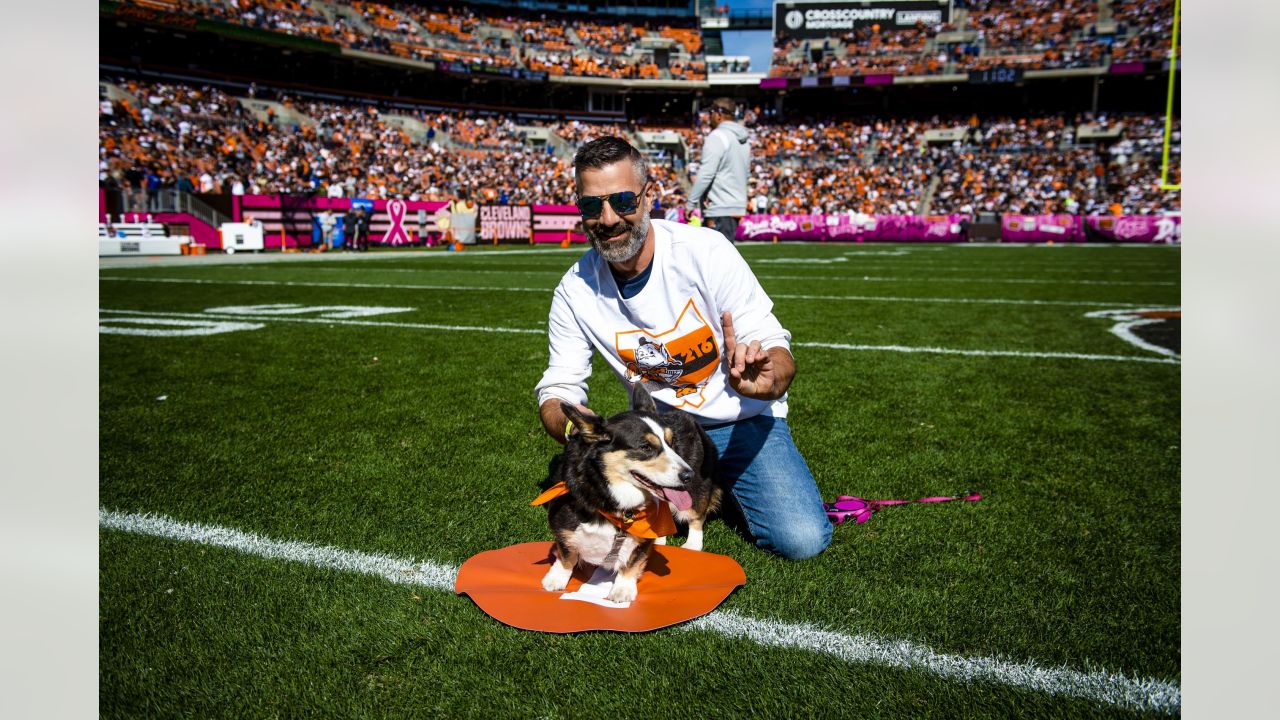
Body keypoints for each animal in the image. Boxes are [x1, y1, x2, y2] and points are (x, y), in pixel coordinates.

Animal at [532, 384, 721, 602]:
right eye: (646, 447)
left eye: (671, 444)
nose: (688, 474)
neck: (609, 496)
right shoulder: (563, 521)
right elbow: (566, 553)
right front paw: (556, 579)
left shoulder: (639, 543)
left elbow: (632, 562)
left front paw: (622, 591)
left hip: (697, 491)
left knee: (696, 516)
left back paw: (692, 545)